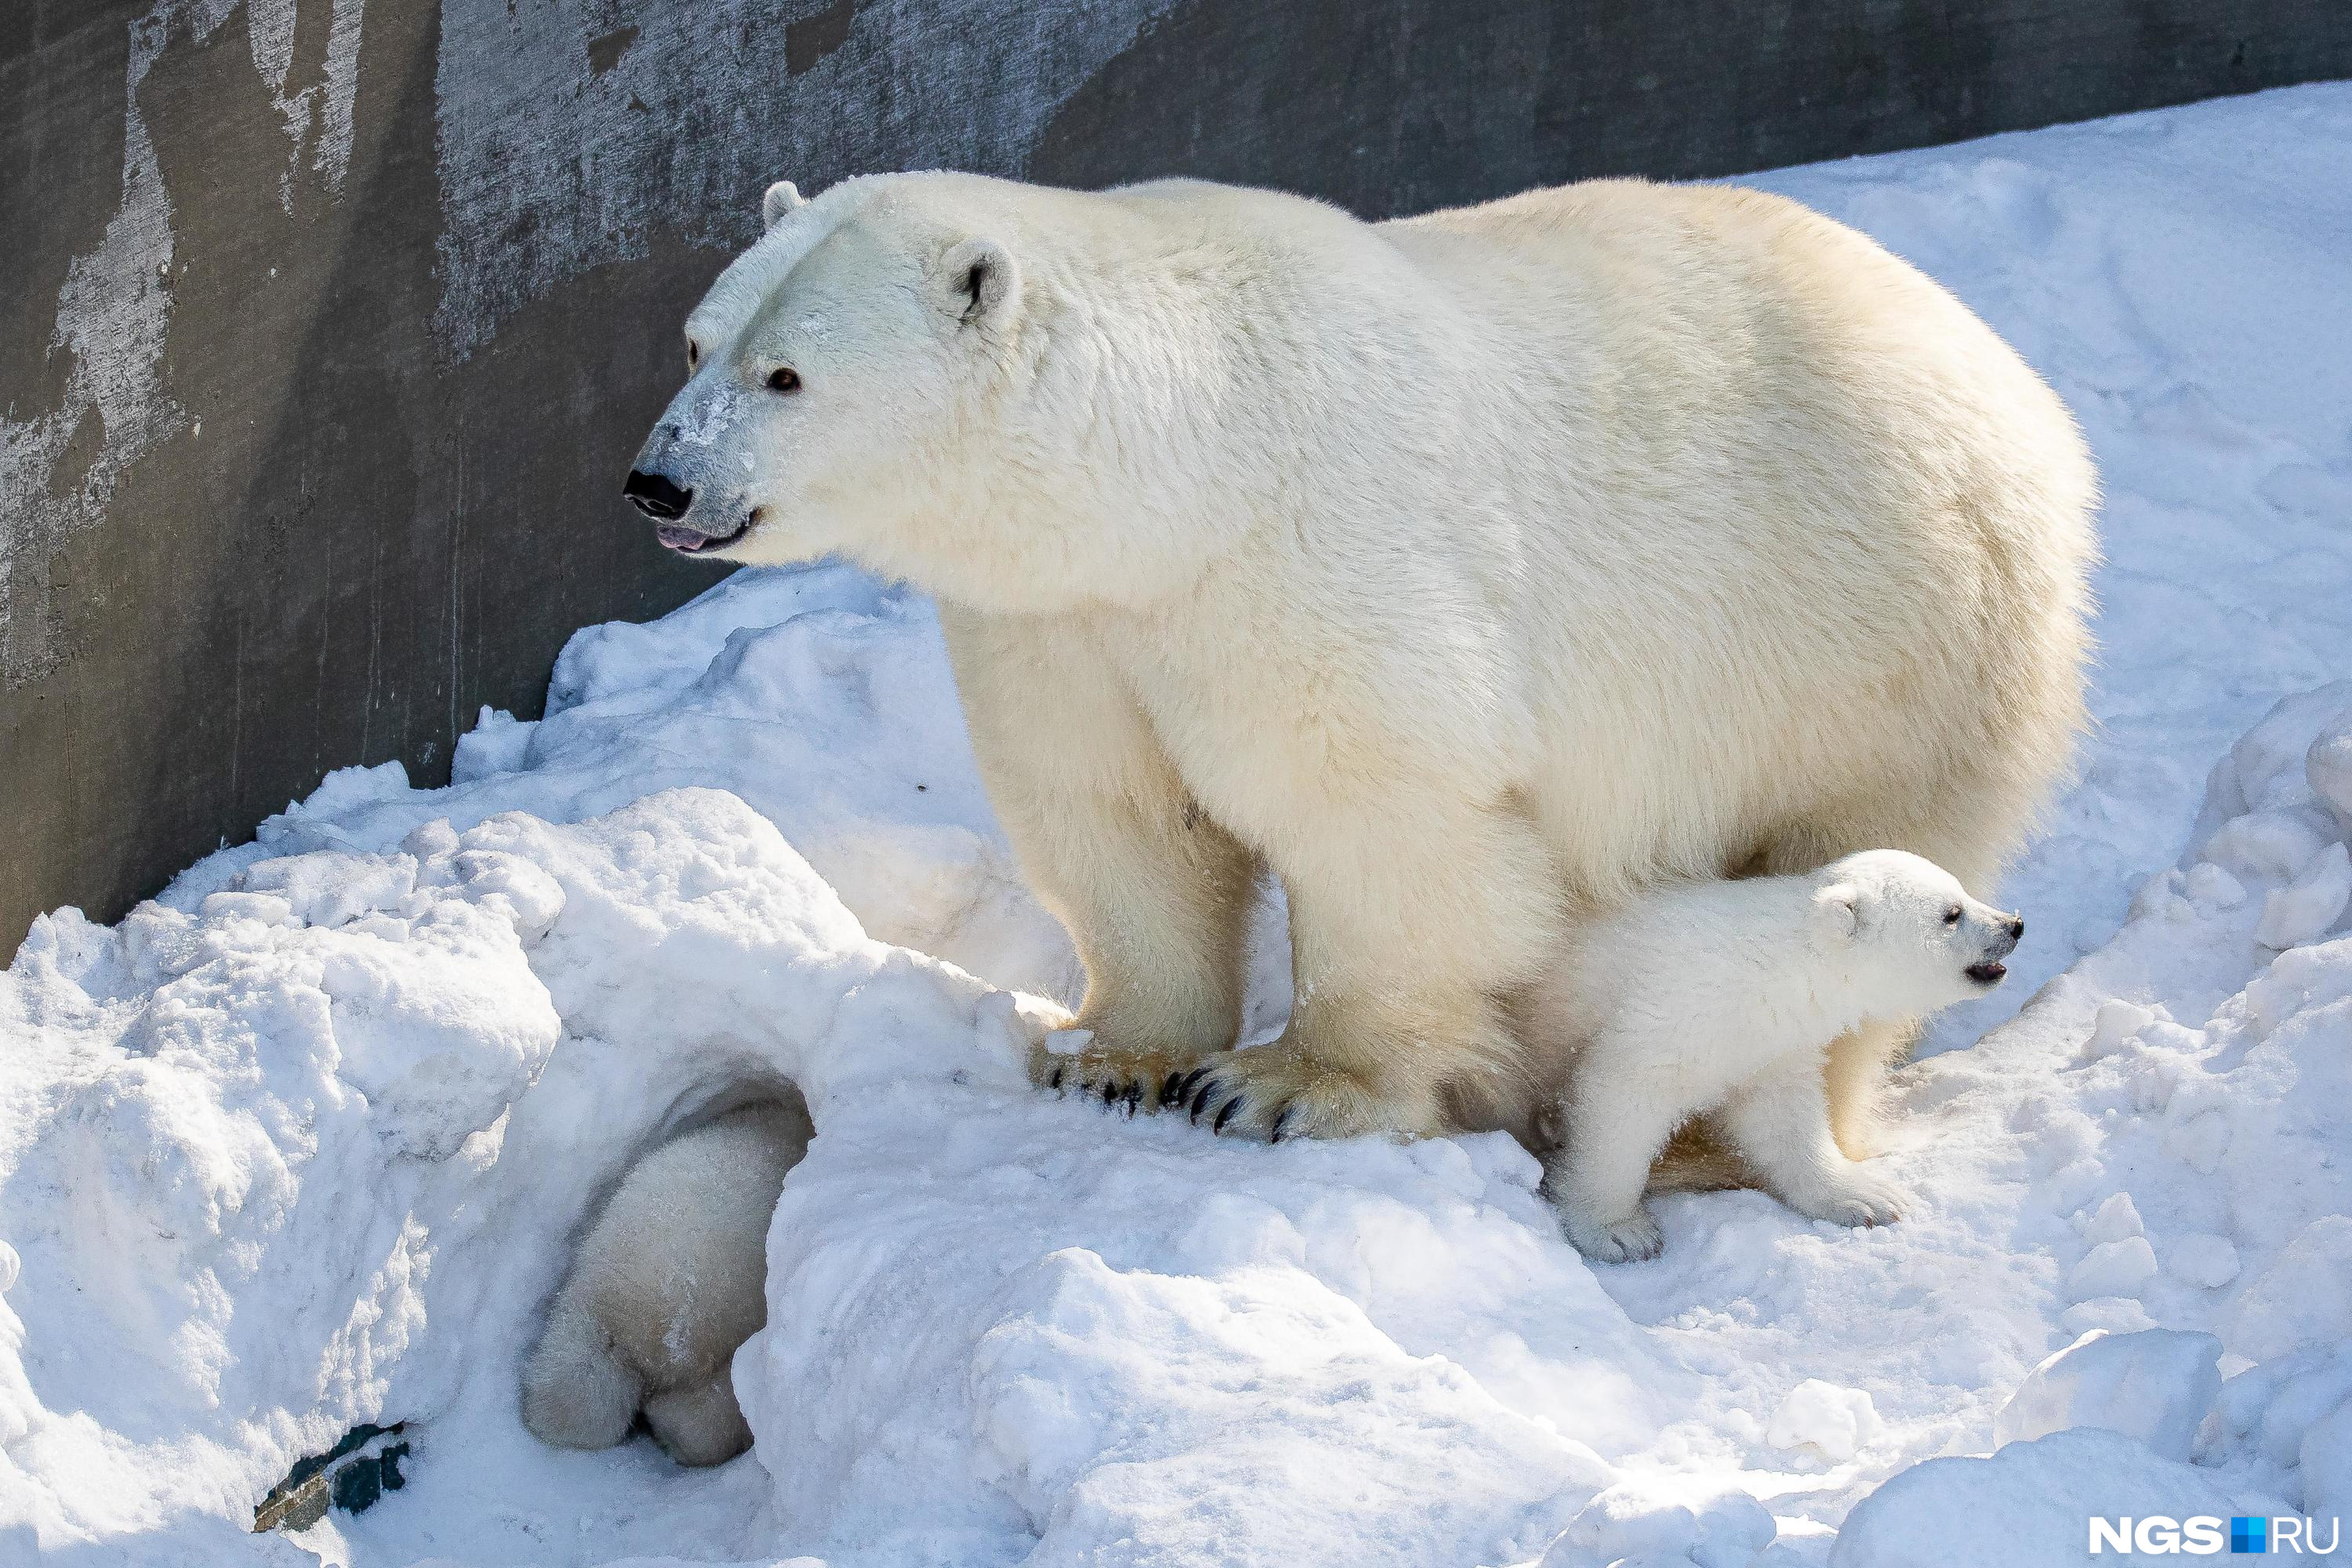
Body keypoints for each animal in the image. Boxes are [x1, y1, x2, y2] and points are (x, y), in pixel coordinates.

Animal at [626, 169, 2098, 1152]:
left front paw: (1285, 1086)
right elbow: (1118, 811)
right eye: (696, 341)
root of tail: (2013, 382)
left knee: (1867, 870)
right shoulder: (1067, 622)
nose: (657, 481)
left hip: (1882, 631)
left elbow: (1382, 822)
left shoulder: (1309, 562)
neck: (1180, 464)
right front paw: (1115, 1056)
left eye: (787, 375)